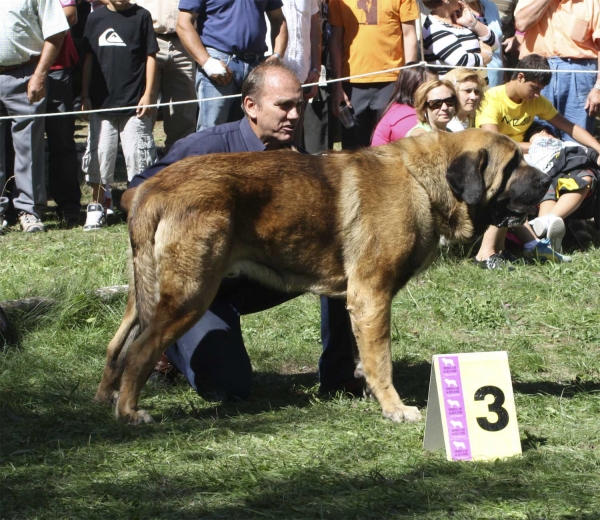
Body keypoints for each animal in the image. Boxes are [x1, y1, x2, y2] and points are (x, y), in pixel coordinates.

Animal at [96, 129, 552, 422]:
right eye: (513, 164)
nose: (548, 179)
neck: (423, 182)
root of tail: (147, 189)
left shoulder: (357, 300)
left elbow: (363, 355)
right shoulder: (372, 295)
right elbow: (382, 360)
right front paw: (395, 409)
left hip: (143, 295)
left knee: (117, 346)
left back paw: (105, 398)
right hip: (190, 296)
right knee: (140, 351)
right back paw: (130, 412)